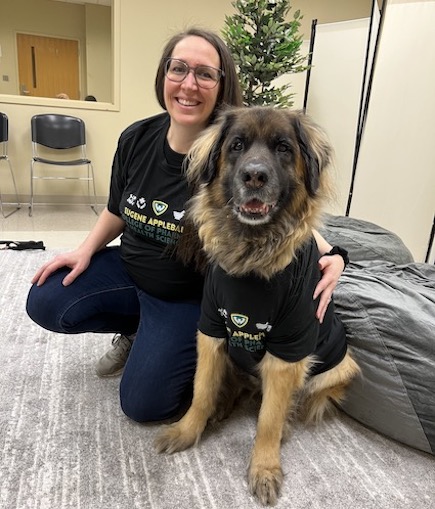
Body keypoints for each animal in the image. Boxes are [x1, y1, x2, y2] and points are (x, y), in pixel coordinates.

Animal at [157, 106, 362, 504]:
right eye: (237, 145)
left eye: (283, 148)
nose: (254, 176)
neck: (252, 255)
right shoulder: (212, 330)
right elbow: (201, 391)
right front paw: (188, 429)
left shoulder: (288, 352)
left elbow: (269, 417)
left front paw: (264, 467)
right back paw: (223, 407)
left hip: (338, 367)